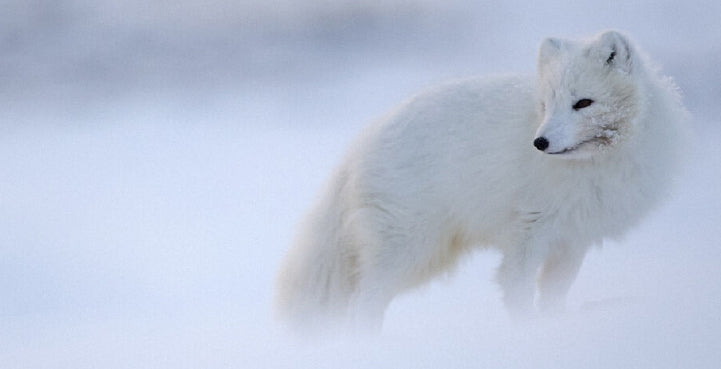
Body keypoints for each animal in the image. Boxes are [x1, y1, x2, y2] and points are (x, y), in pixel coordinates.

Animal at [274, 30, 688, 330]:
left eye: (583, 103)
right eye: (546, 105)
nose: (540, 142)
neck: (595, 164)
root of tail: (361, 141)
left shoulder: (574, 238)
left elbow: (554, 294)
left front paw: (552, 327)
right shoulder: (529, 230)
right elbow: (517, 289)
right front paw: (526, 332)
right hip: (408, 247)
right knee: (363, 303)